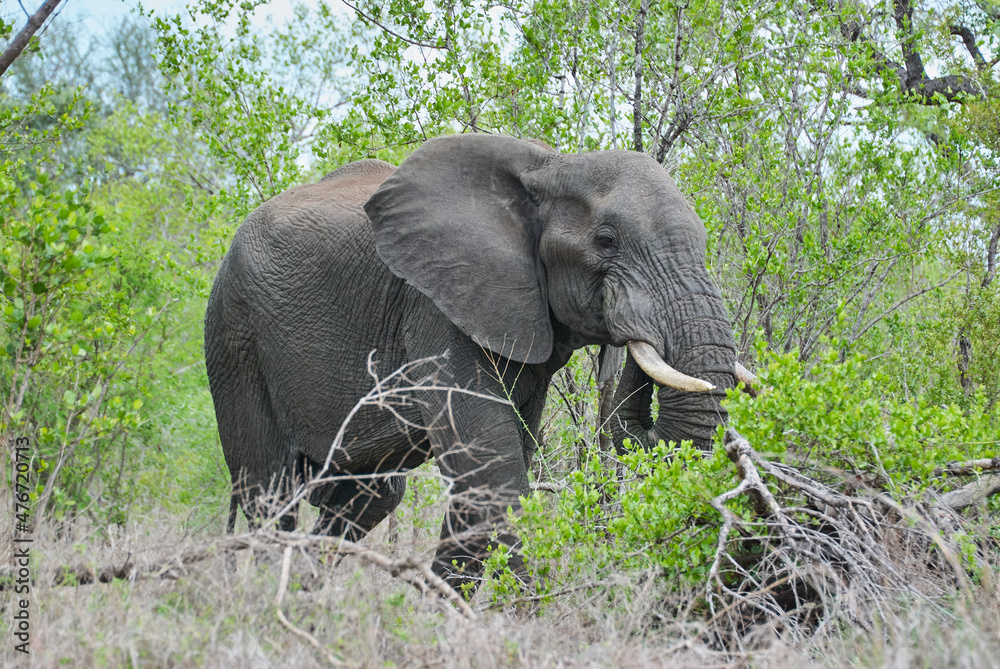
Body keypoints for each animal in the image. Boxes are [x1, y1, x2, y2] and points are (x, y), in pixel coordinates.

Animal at [204, 134, 747, 589]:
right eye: (606, 240)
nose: (635, 335)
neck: (549, 165)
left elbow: (495, 469)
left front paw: (444, 609)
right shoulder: (437, 305)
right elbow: (493, 468)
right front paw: (526, 612)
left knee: (371, 495)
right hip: (234, 335)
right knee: (270, 491)